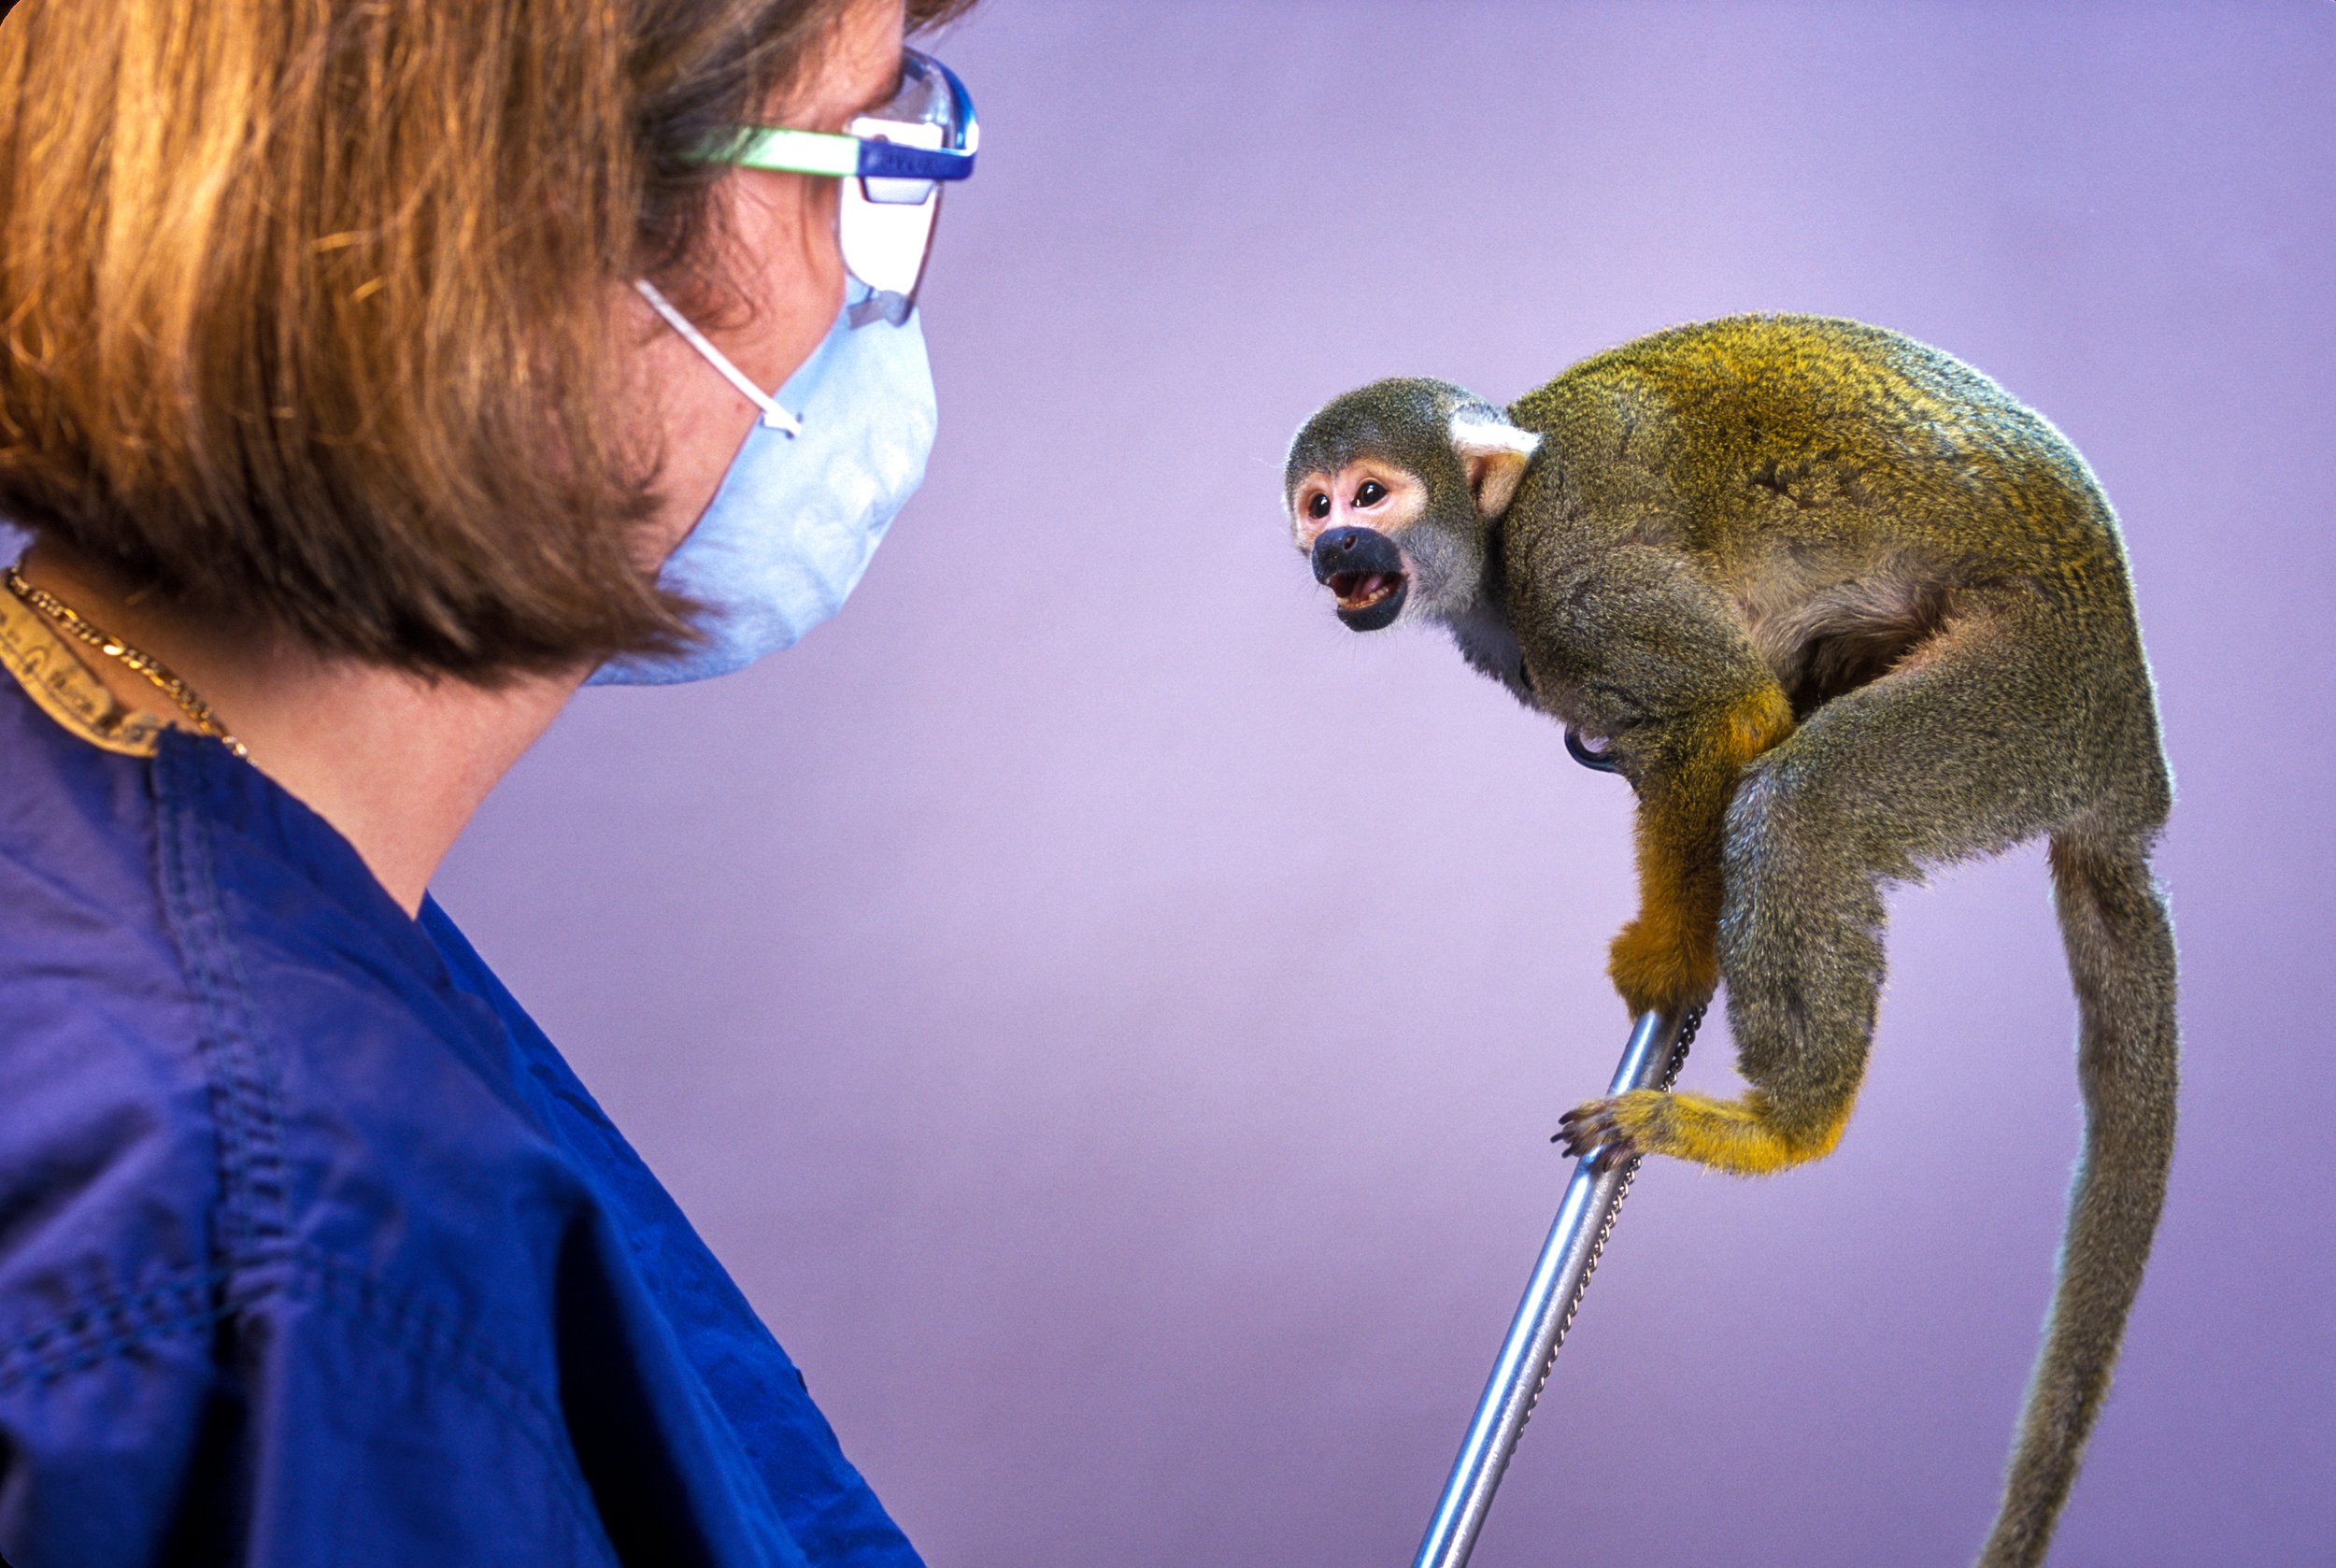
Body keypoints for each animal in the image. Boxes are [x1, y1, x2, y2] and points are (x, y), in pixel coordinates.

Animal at [1283, 314, 2177, 1568]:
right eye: (1314, 504)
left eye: (1371, 492)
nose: (1335, 545)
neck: (1494, 542)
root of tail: (2128, 758)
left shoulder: (1573, 570)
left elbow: (1722, 714)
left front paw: (1672, 957)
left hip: (2032, 696)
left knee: (1803, 803)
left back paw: (1783, 1126)